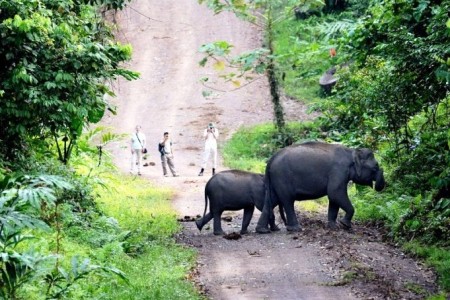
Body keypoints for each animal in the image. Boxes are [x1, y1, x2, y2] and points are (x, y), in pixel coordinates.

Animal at [255, 142, 384, 233]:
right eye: (375, 167)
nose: (380, 187)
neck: (352, 151)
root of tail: (271, 160)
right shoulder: (339, 171)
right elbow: (335, 193)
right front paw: (344, 225)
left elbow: (334, 199)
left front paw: (334, 226)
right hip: (282, 177)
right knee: (287, 201)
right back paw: (296, 229)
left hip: (275, 180)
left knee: (272, 201)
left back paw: (263, 230)